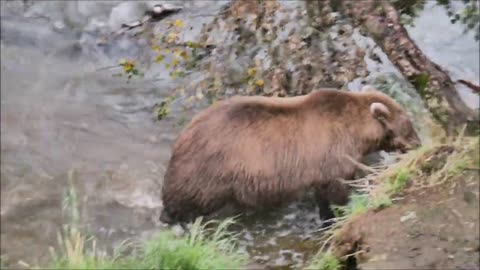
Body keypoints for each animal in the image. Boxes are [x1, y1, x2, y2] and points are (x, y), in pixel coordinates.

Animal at [160, 87, 420, 225]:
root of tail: (181, 139)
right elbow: (338, 190)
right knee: (185, 203)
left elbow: (323, 194)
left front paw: (326, 217)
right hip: (208, 172)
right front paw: (339, 213)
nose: (417, 144)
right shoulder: (335, 155)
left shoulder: (320, 169)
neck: (357, 131)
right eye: (408, 125)